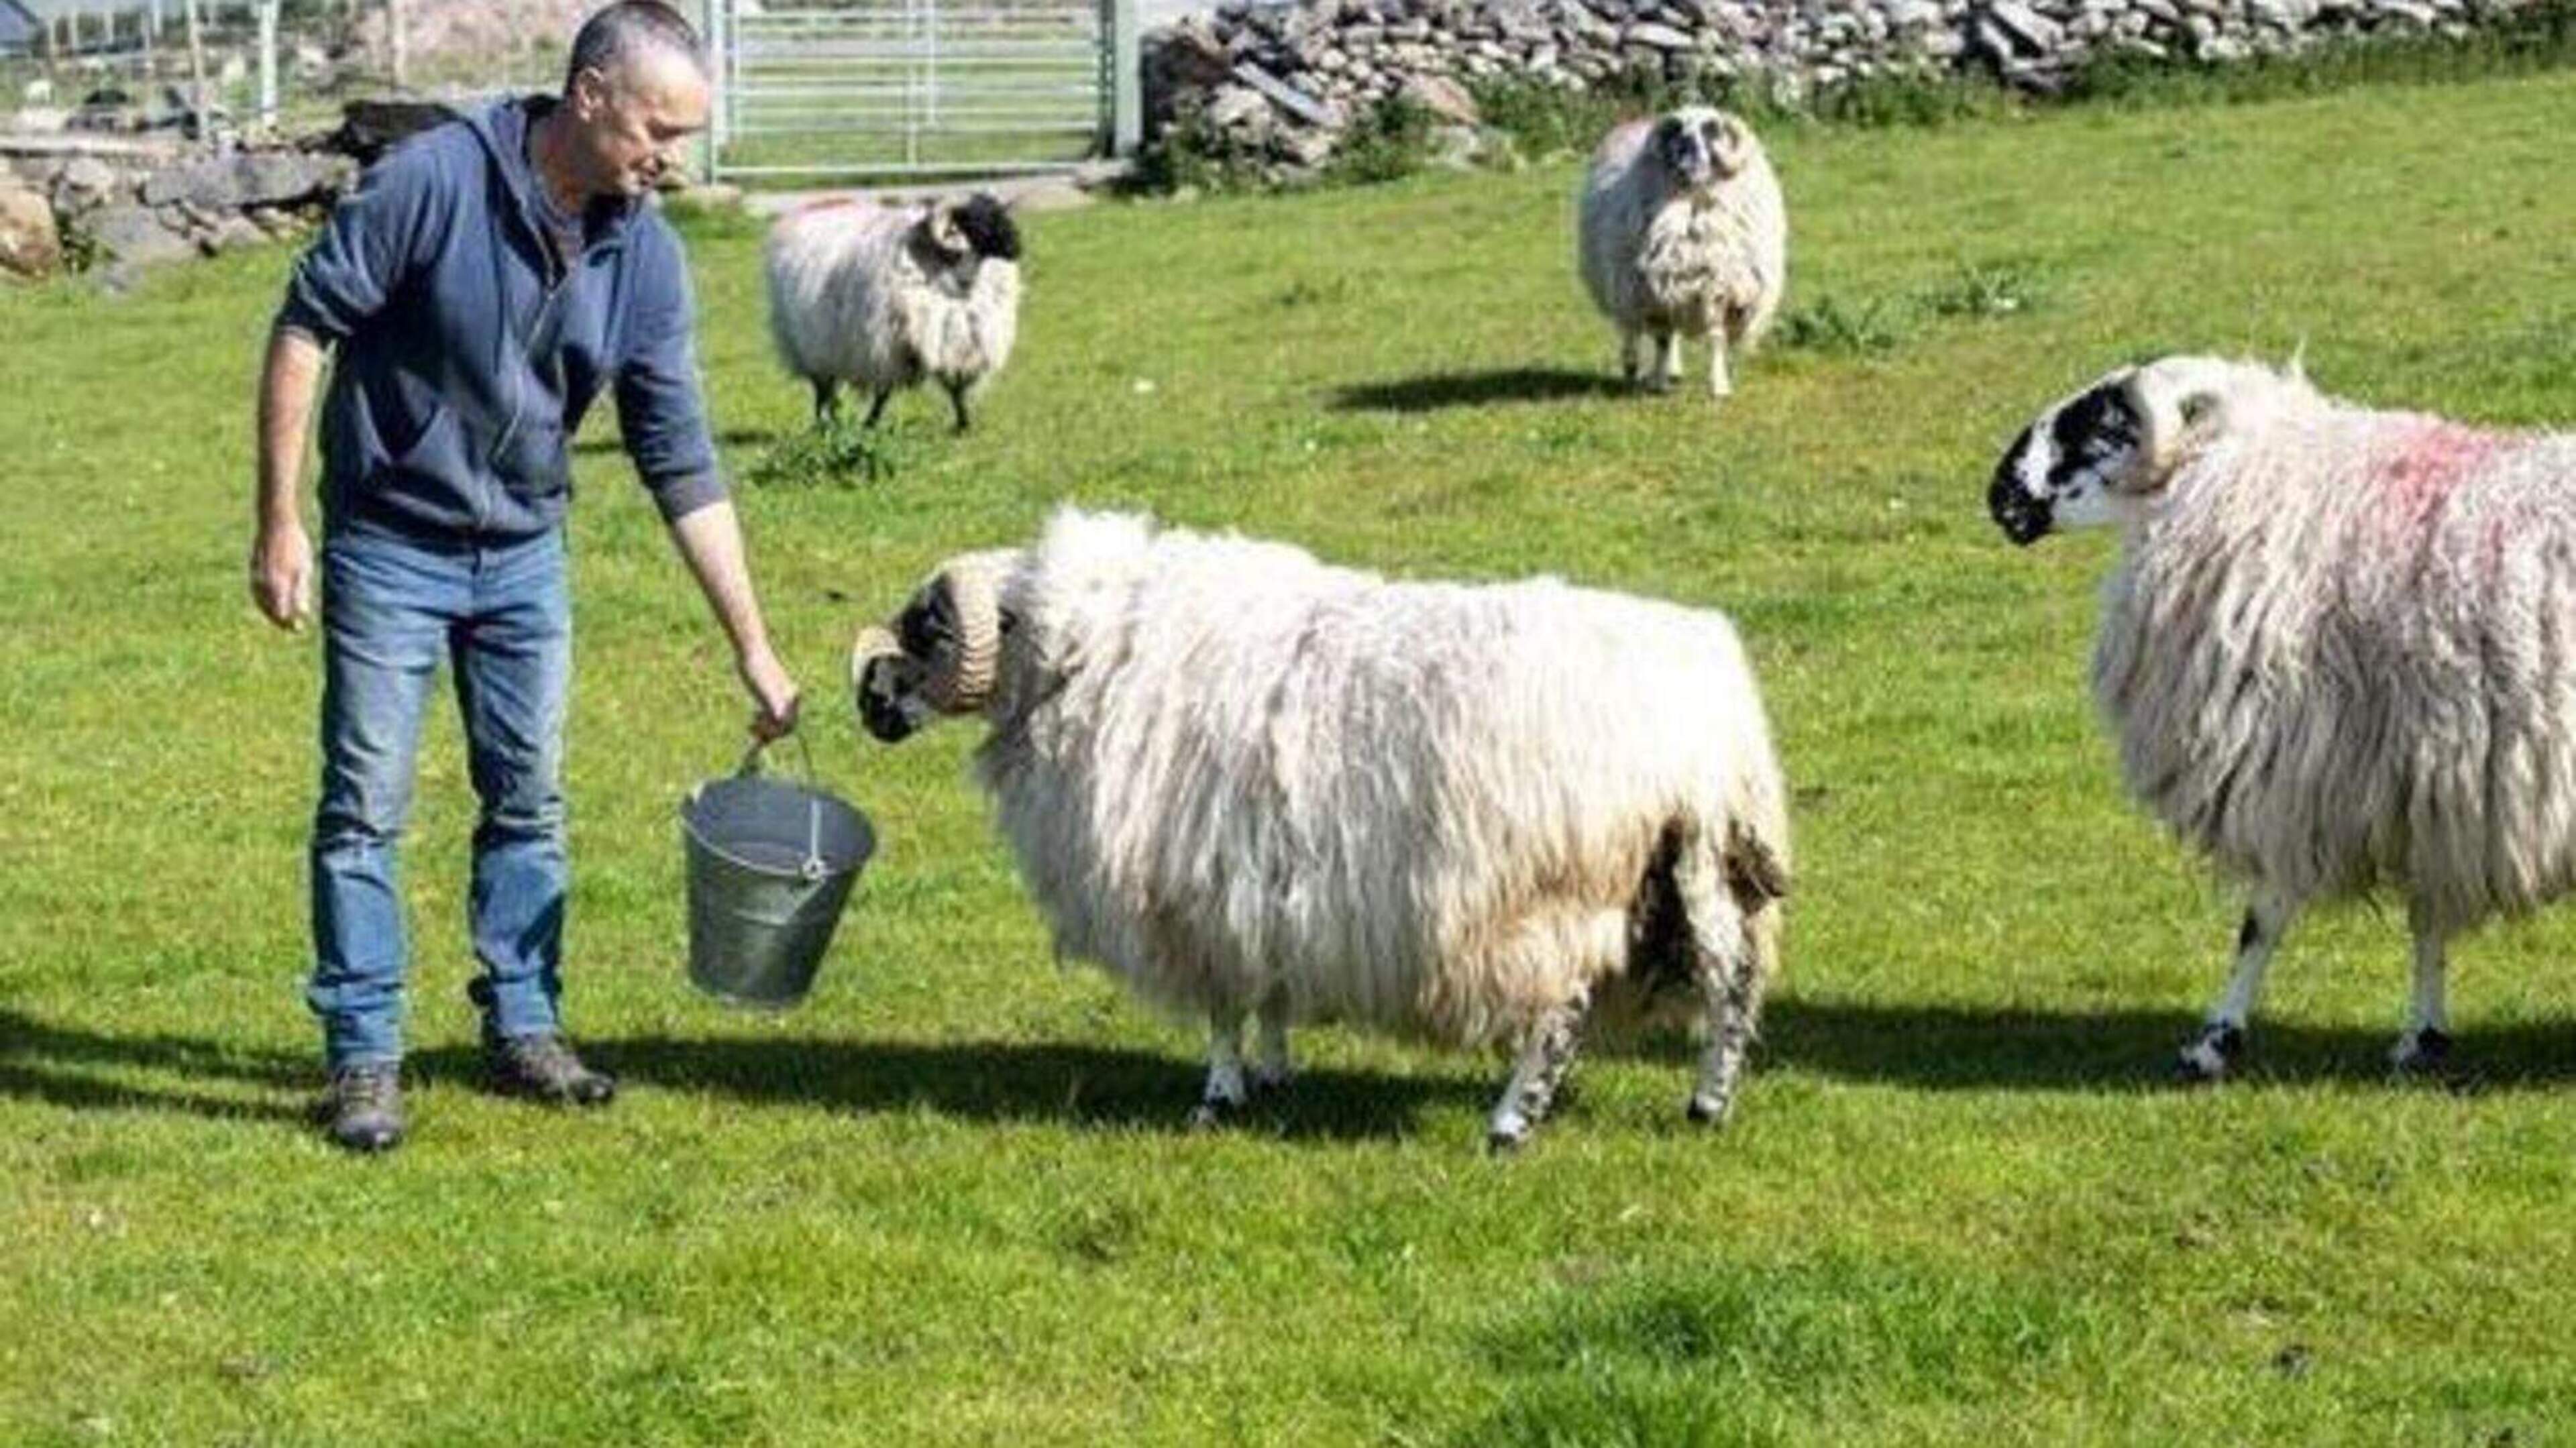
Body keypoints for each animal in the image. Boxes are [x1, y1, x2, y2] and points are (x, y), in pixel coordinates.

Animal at [763, 193, 1021, 433]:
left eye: (998, 215)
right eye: (978, 224)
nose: (1015, 249)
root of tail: (818, 203)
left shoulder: (956, 344)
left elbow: (955, 389)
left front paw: (964, 425)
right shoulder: (887, 349)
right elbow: (883, 393)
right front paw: (870, 423)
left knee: (829, 390)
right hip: (807, 346)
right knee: (822, 388)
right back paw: (825, 424)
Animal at [850, 507, 1793, 1149]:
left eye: (927, 627)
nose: (867, 700)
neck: (1086, 653)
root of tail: (1699, 722)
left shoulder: (1192, 891)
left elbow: (1223, 1005)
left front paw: (1220, 1093)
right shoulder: (1258, 884)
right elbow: (1266, 990)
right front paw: (1274, 1070)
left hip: (1549, 894)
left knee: (1559, 1014)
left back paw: (1509, 1122)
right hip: (1699, 868)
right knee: (1732, 982)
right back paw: (1709, 1102)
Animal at [1577, 105, 1787, 401]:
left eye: (1712, 130)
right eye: (1676, 133)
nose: (1684, 167)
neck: (1693, 205)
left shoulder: (1720, 291)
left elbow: (1716, 339)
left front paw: (1719, 386)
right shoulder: (1653, 293)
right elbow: (1662, 340)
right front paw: (1659, 382)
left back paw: (1673, 372)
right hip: (1624, 285)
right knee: (1631, 330)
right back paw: (1632, 366)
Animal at [1988, 353, 2576, 1082]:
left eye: (2105, 419)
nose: (1998, 494)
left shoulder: (2299, 771)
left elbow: (2262, 918)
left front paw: (2214, 1040)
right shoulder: (2431, 781)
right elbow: (2428, 915)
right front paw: (2423, 1038)